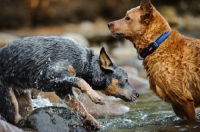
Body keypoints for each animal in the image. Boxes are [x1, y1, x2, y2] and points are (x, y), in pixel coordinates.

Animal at [0, 36, 139, 130]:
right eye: (126, 80)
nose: (137, 95)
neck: (87, 62)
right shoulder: (52, 74)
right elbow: (81, 80)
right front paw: (95, 96)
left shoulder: (63, 90)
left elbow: (79, 106)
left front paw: (92, 120)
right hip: (9, 103)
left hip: (24, 99)